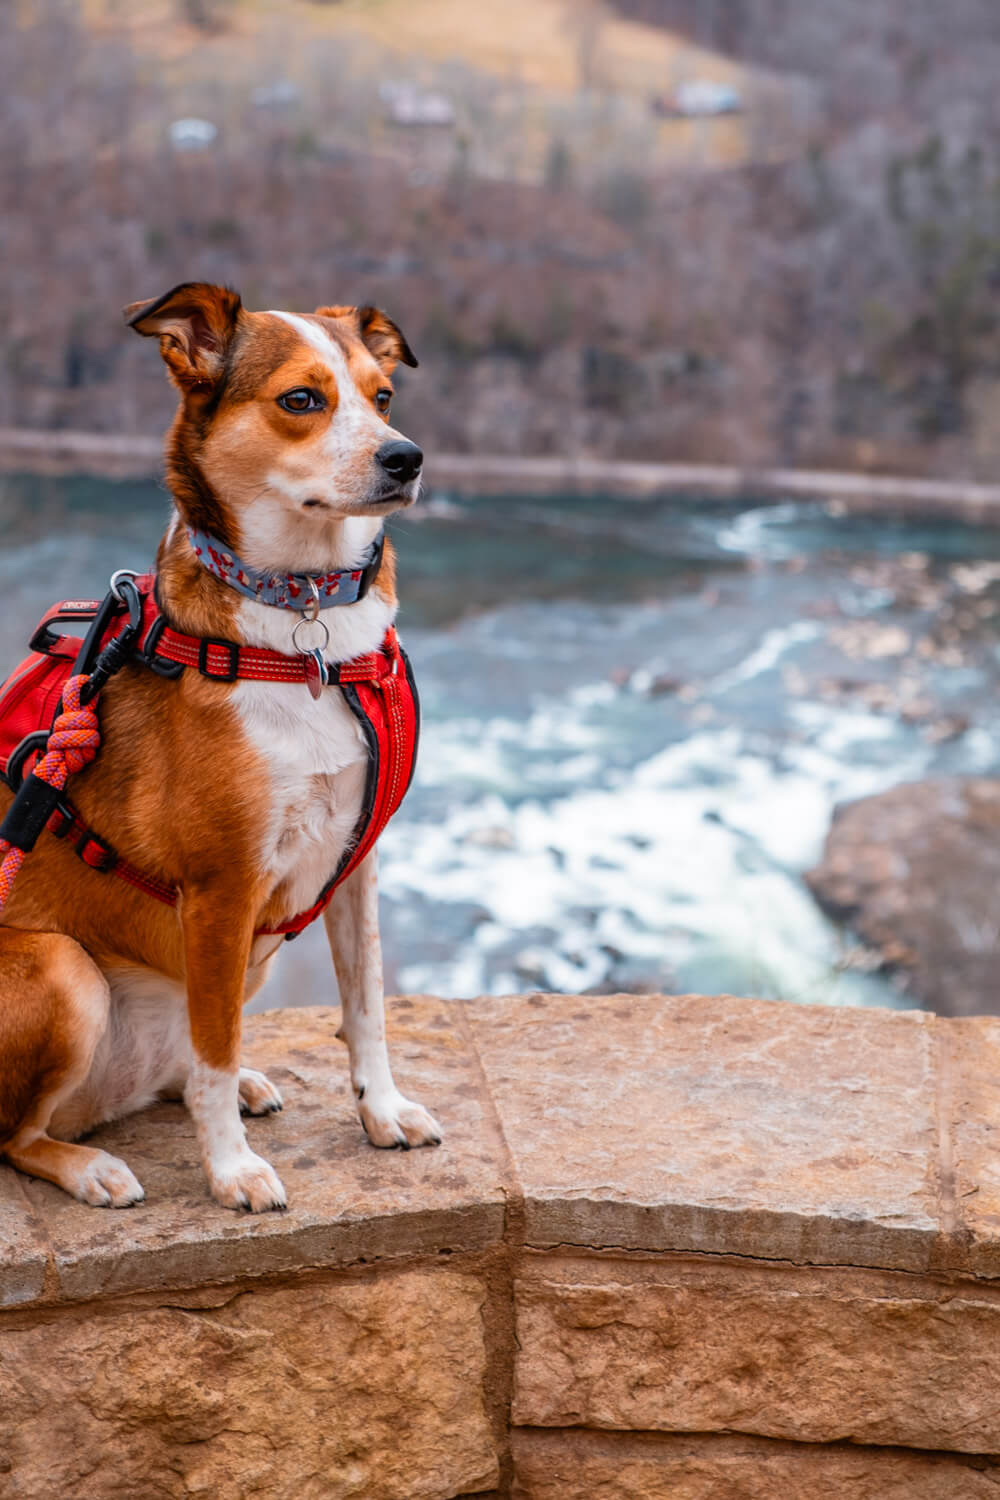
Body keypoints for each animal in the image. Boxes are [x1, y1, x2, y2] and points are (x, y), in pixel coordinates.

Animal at [0, 283, 440, 1218]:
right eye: (302, 400)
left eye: (383, 396)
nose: (407, 458)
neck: (304, 627)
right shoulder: (220, 890)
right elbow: (214, 1045)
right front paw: (231, 1169)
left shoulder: (356, 864)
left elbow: (367, 1006)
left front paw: (382, 1110)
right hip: (62, 968)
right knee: (16, 1136)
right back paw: (89, 1166)